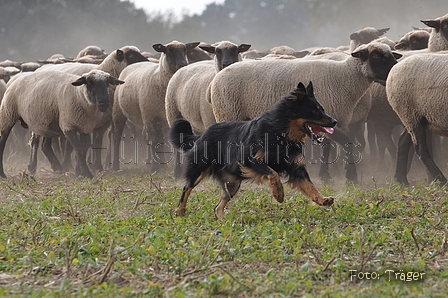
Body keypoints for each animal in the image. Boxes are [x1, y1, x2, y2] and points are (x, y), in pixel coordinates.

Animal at [110, 41, 200, 172]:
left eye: (185, 50)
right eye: (168, 51)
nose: (183, 64)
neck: (160, 80)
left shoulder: (166, 119)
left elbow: (163, 140)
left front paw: (163, 164)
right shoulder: (150, 117)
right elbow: (154, 140)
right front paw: (155, 168)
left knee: (151, 137)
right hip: (119, 111)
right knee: (117, 136)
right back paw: (116, 166)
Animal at [170, 81, 338, 219]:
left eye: (322, 109)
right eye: (315, 111)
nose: (335, 122)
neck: (281, 132)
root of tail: (202, 134)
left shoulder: (296, 168)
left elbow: (310, 186)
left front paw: (322, 199)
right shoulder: (248, 160)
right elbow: (273, 172)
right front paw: (278, 193)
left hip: (232, 183)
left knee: (217, 207)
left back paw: (223, 221)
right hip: (199, 170)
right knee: (186, 188)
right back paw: (180, 212)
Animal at [206, 40, 400, 183]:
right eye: (376, 55)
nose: (396, 67)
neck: (345, 77)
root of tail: (217, 77)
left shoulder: (328, 120)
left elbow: (327, 147)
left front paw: (325, 175)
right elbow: (347, 142)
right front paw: (350, 176)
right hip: (228, 111)